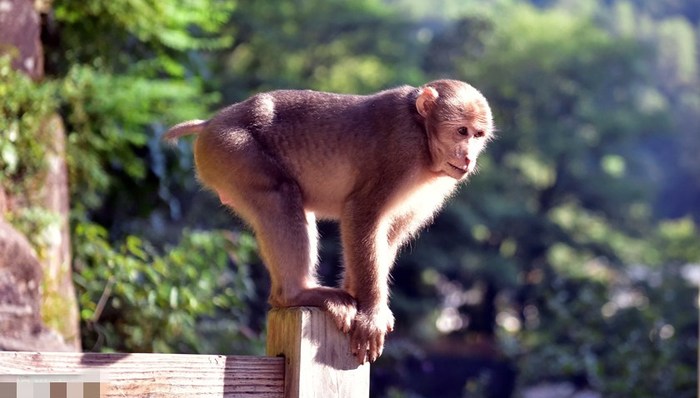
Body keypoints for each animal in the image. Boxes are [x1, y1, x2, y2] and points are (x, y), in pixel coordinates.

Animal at [163, 80, 492, 364]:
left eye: (477, 135)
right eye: (461, 131)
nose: (468, 157)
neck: (423, 137)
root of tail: (211, 123)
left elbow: (391, 234)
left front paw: (357, 295)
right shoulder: (401, 151)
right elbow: (362, 213)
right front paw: (371, 313)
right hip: (230, 149)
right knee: (280, 195)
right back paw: (296, 293)